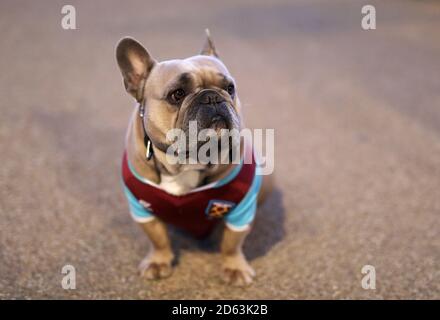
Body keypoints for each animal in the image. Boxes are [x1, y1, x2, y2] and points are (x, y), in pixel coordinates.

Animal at [115, 30, 270, 286]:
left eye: (230, 88)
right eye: (177, 94)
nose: (212, 97)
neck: (188, 160)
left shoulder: (242, 206)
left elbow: (232, 241)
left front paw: (235, 267)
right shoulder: (141, 208)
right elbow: (157, 237)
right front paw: (158, 261)